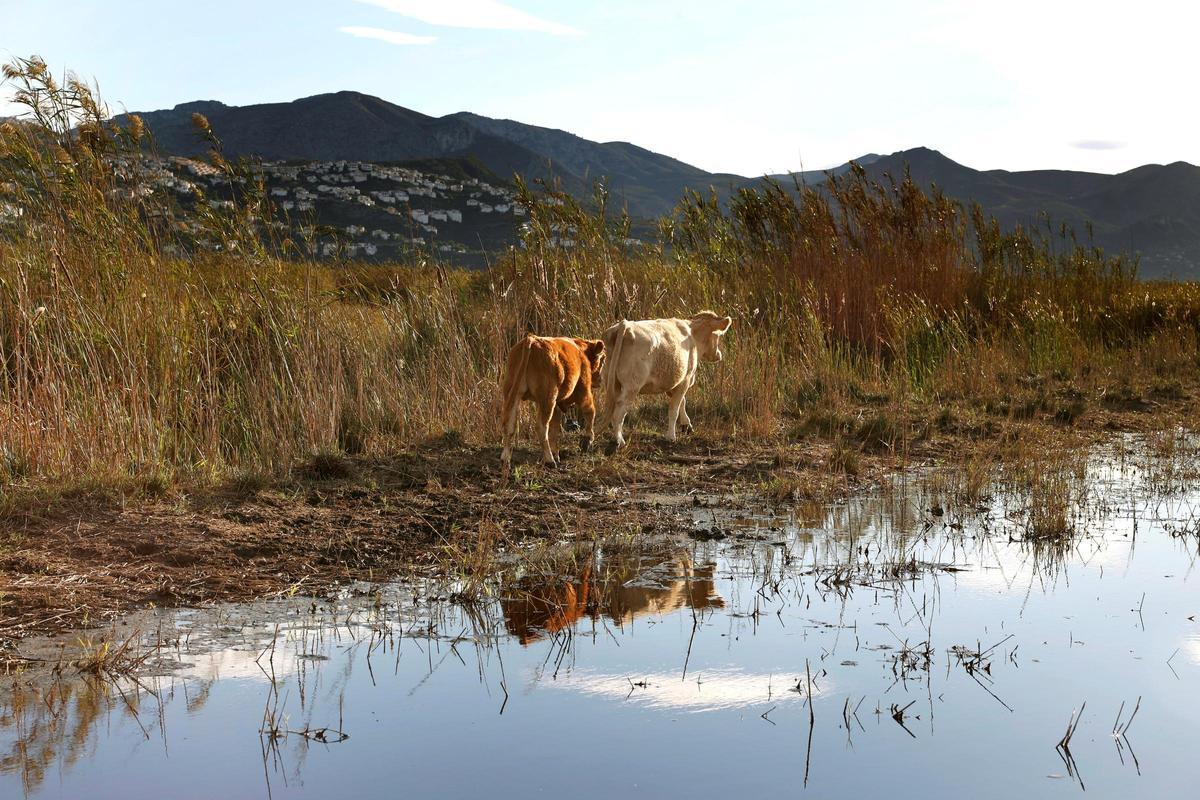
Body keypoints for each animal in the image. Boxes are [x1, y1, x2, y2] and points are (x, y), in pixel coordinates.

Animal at [499, 334, 605, 475]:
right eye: (602, 360)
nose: (600, 380)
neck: (581, 352)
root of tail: (532, 339)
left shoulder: (556, 404)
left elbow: (555, 426)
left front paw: (556, 453)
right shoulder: (583, 390)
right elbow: (590, 412)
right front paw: (587, 441)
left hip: (513, 393)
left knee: (509, 425)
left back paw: (505, 459)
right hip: (547, 397)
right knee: (541, 427)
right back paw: (549, 460)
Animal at [601, 311, 732, 450]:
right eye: (718, 335)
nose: (719, 355)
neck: (692, 335)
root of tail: (624, 325)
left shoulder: (673, 383)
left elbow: (682, 402)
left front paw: (686, 425)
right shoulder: (686, 379)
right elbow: (674, 409)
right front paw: (671, 436)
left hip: (611, 381)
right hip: (632, 386)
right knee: (619, 411)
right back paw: (619, 441)